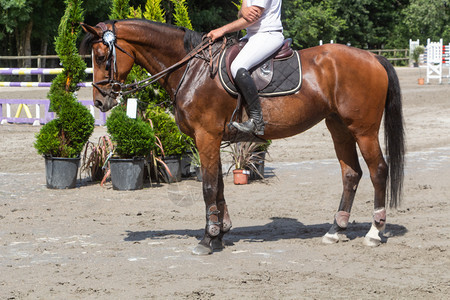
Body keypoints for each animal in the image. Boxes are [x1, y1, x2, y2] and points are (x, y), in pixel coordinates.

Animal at [80, 19, 404, 255]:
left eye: (101, 56)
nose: (99, 101)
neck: (191, 69)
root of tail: (372, 57)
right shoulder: (209, 139)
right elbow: (219, 185)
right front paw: (220, 233)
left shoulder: (206, 136)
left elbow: (209, 186)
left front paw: (208, 239)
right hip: (338, 128)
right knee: (351, 174)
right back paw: (336, 231)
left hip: (363, 130)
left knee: (378, 170)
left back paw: (374, 232)